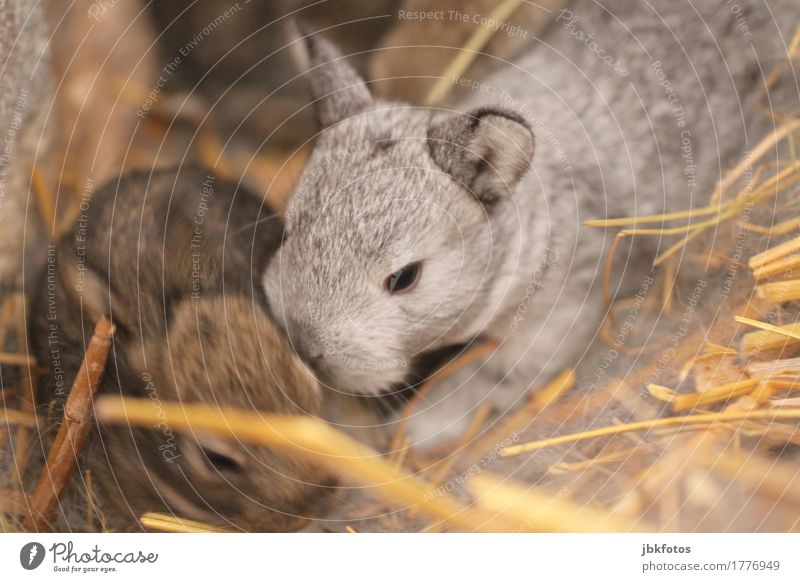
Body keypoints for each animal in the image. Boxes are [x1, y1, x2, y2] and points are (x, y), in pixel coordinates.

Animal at [264, 2, 800, 444]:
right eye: (288, 231)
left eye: (404, 279)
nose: (307, 349)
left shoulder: (560, 308)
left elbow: (496, 373)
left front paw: (421, 426)